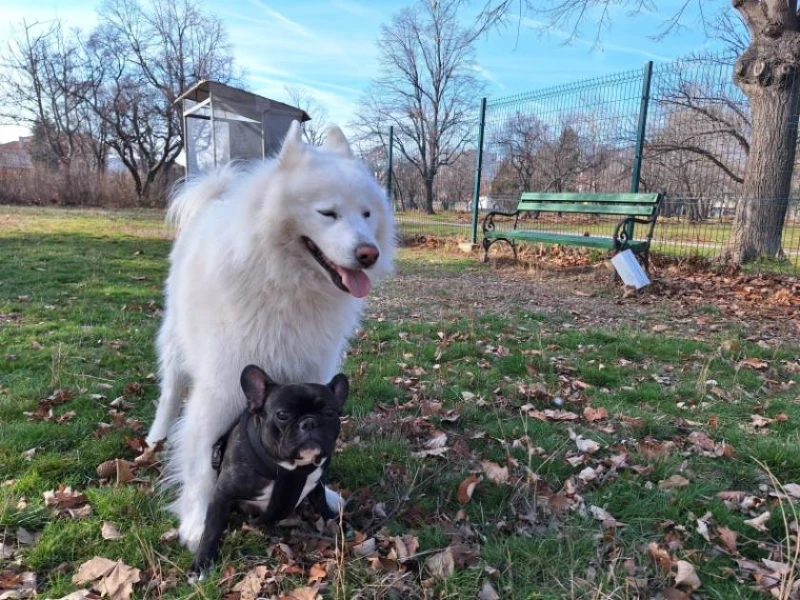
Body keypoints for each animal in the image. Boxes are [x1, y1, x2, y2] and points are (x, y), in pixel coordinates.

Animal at [145, 123, 396, 552]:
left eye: (366, 213)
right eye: (327, 213)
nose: (369, 253)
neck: (287, 284)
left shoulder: (313, 373)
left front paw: (321, 493)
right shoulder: (221, 384)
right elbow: (200, 456)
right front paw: (195, 521)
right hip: (176, 346)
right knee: (171, 392)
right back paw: (156, 436)